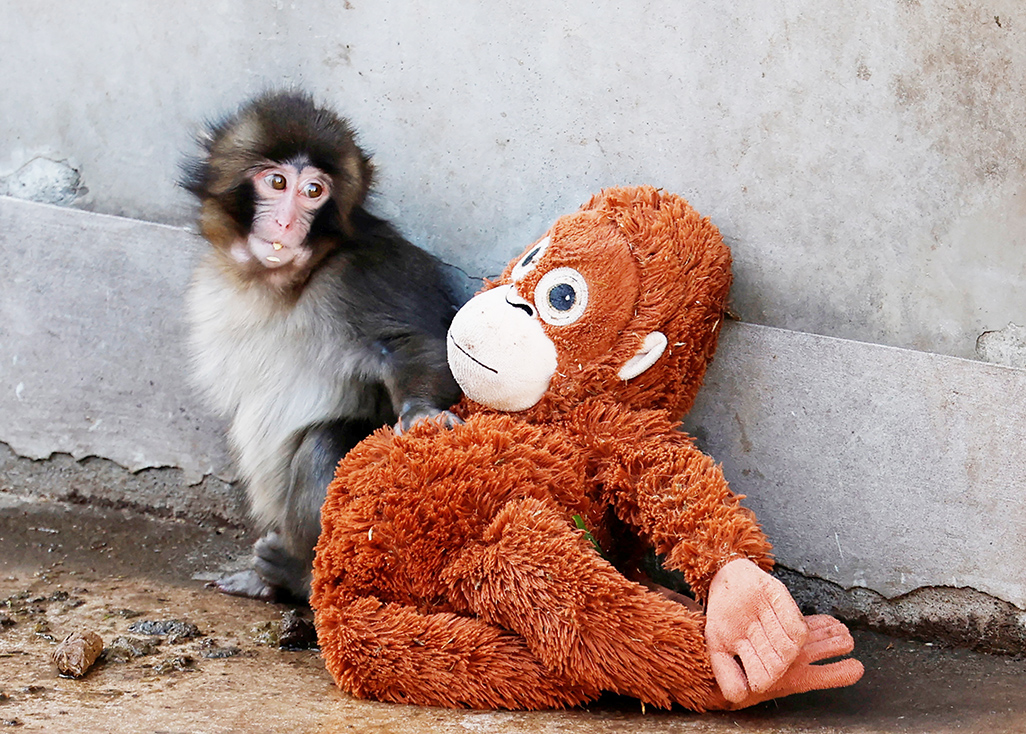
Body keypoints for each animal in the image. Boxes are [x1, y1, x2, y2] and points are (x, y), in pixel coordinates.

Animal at [181, 91, 463, 602]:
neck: (283, 283)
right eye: (277, 182)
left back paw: (296, 576)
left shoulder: (365, 274)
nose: (286, 221)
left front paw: (422, 413)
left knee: (324, 444)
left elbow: (412, 343)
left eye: (314, 191)